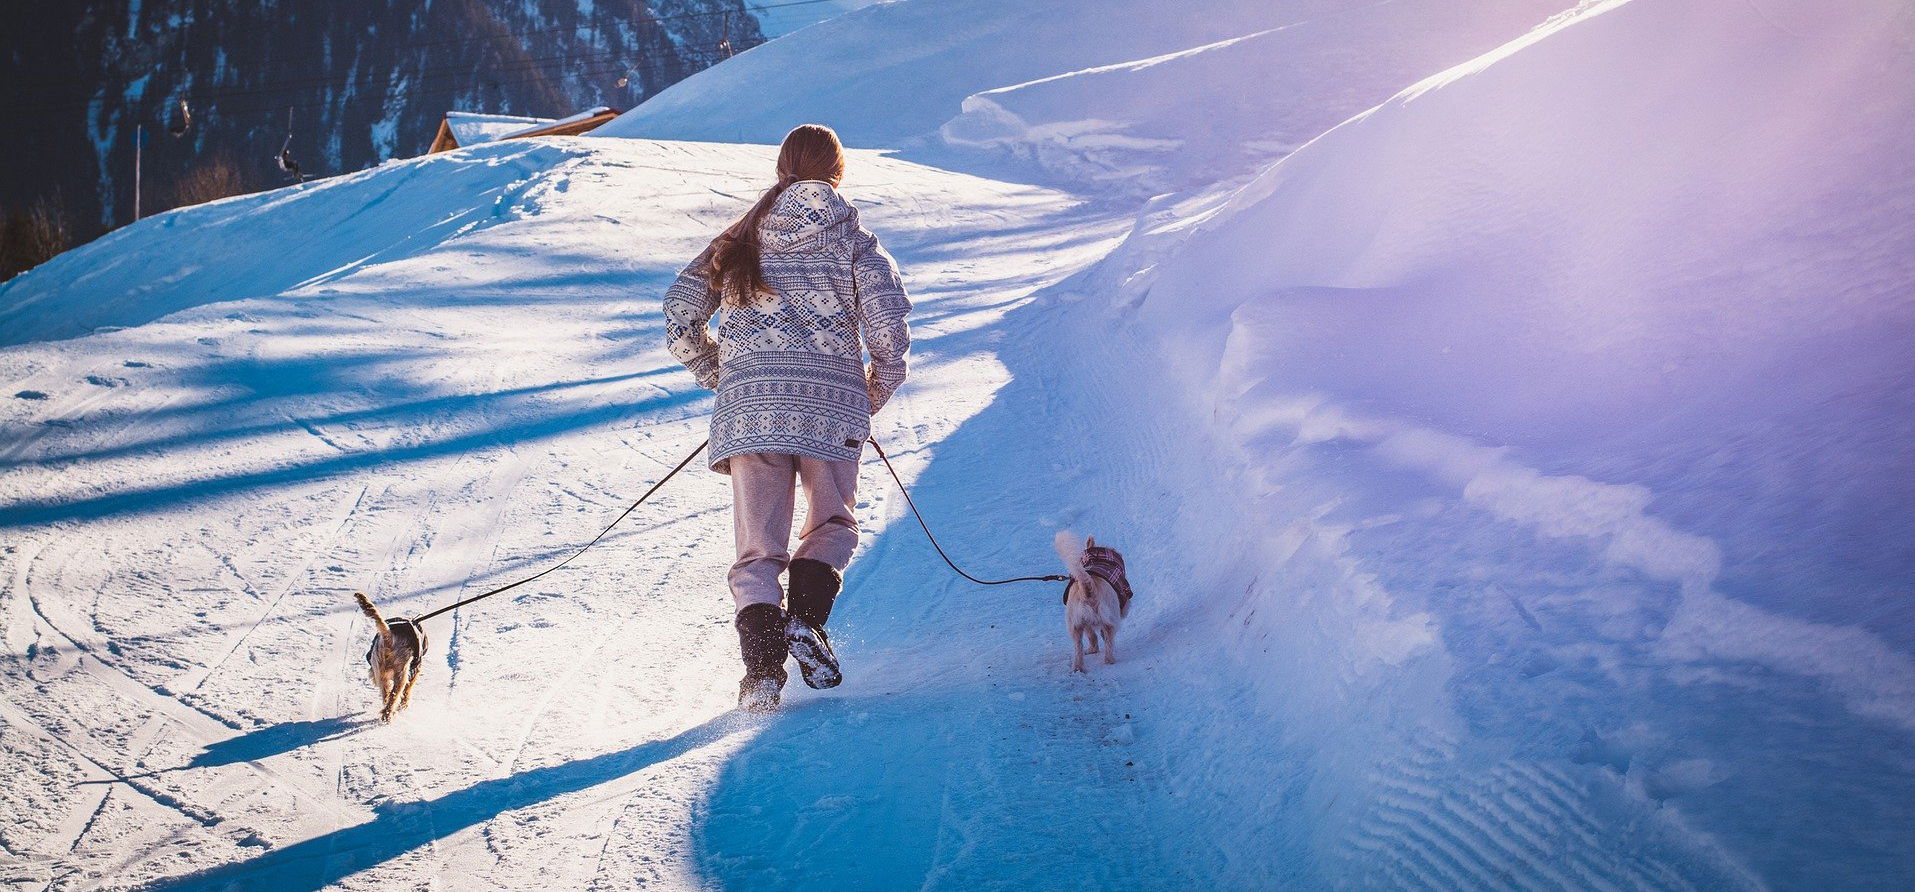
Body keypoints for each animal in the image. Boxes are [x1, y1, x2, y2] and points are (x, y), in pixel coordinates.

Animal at [356, 593, 427, 723]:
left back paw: (386, 711)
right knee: (394, 694)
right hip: (401, 672)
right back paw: (388, 714)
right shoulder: (414, 670)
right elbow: (407, 689)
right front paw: (404, 705)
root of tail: (389, 636)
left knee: (386, 693)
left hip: (380, 668)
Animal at [1057, 532, 1126, 673]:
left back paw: (1078, 667)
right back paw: (1110, 660)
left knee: (1079, 646)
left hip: (1075, 625)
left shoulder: (1085, 623)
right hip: (1110, 618)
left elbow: (1092, 636)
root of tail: (1088, 589)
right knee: (1109, 641)